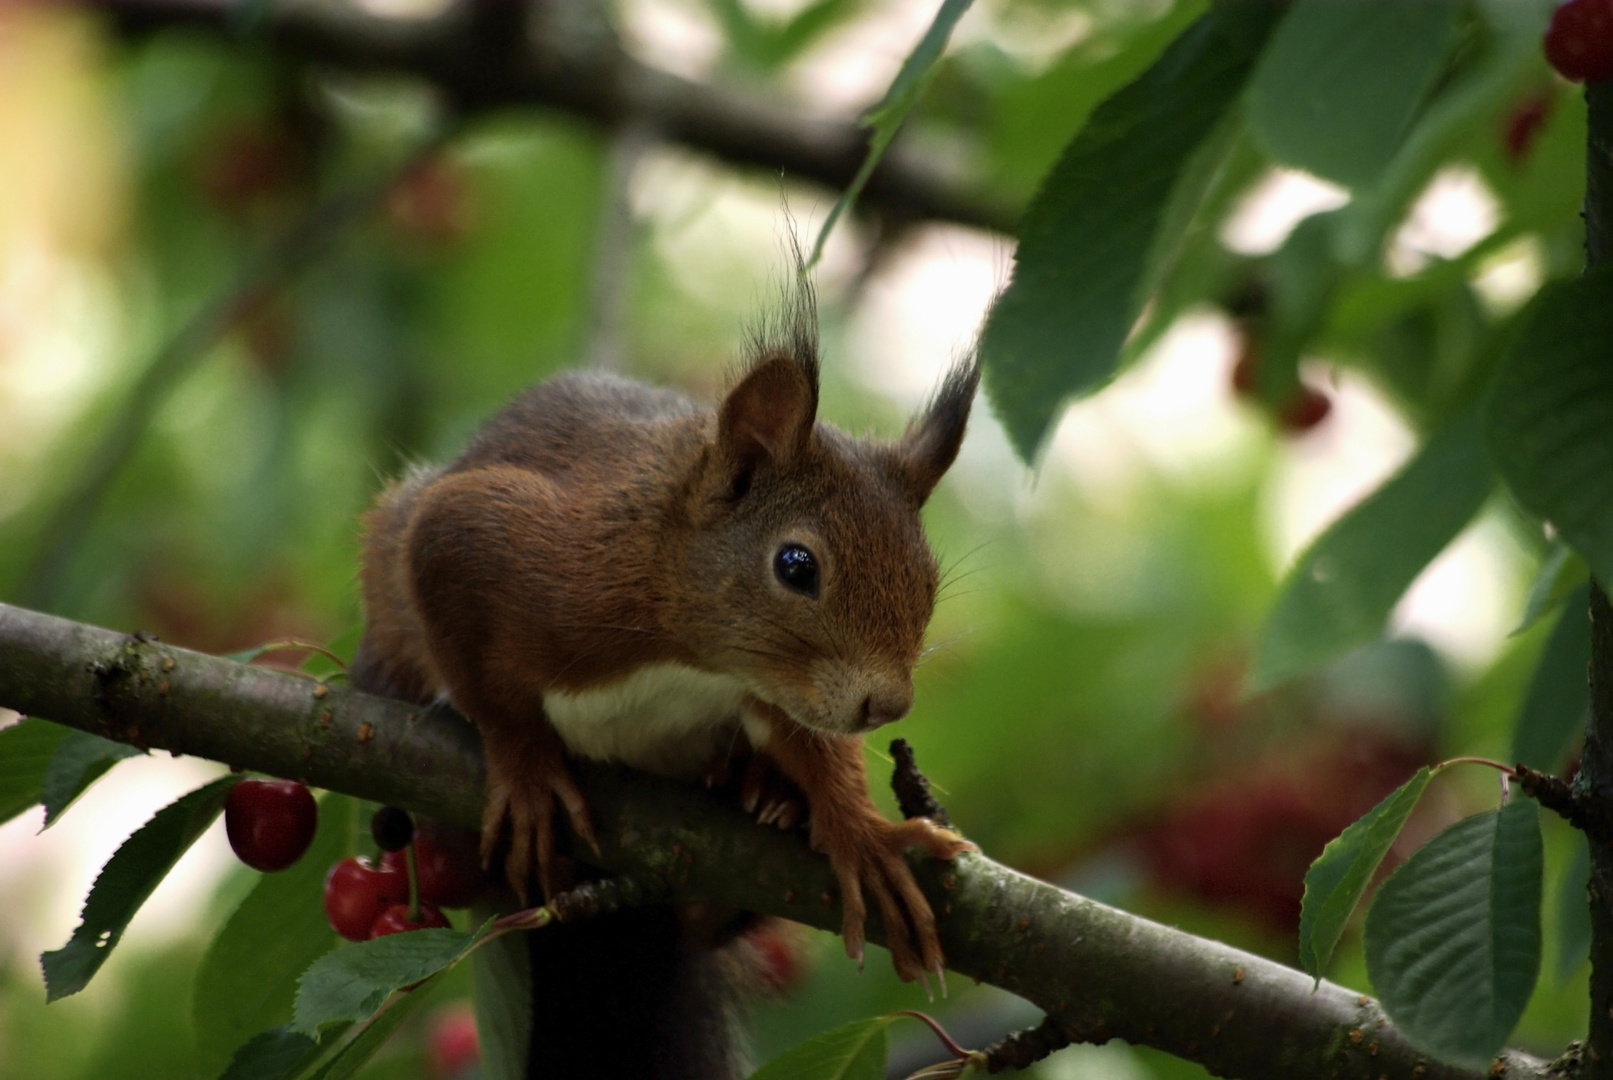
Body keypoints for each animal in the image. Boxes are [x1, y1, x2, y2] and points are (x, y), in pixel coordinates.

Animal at [354, 277, 974, 1050]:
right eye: (796, 565)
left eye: (928, 577)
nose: (887, 705)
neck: (692, 660)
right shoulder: (486, 537)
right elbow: (474, 657)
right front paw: (525, 770)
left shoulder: (776, 686)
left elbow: (811, 744)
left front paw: (861, 835)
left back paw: (762, 791)